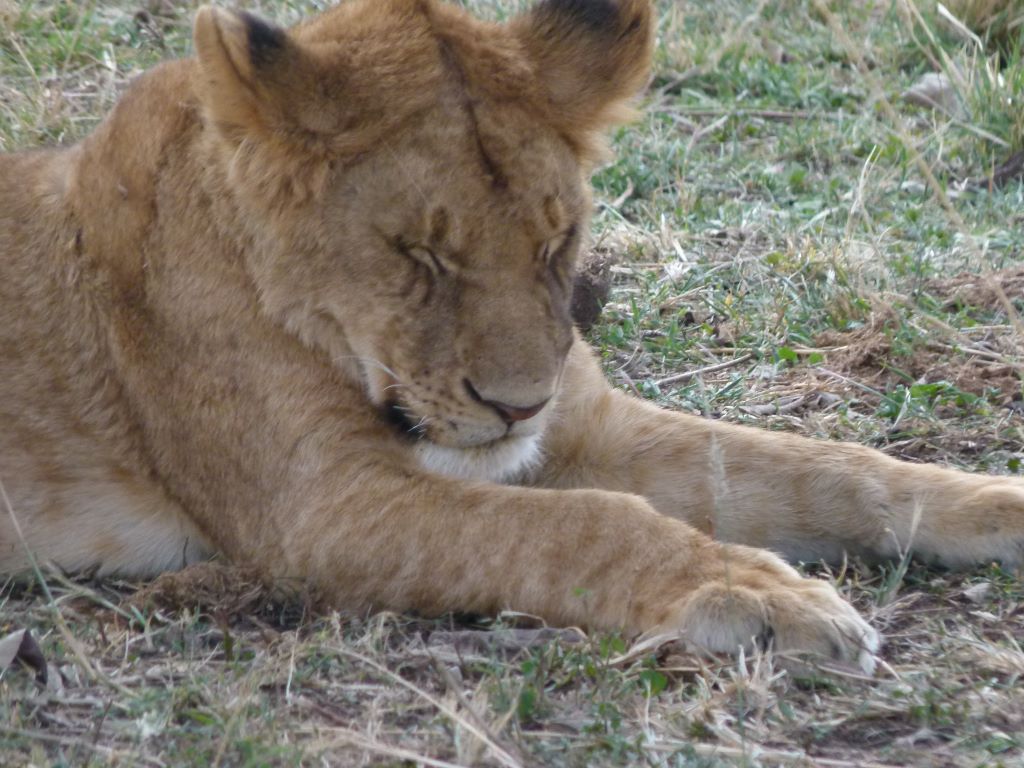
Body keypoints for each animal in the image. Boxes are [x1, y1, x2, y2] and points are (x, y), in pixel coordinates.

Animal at [1, 0, 1022, 675]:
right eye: (419, 254)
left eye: (554, 240)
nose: (517, 405)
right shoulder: (314, 514)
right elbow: (583, 524)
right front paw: (757, 596)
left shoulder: (588, 428)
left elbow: (830, 468)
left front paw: (995, 503)